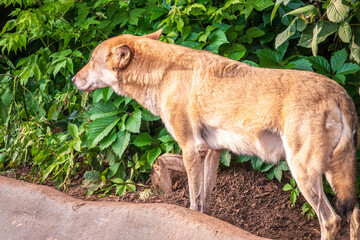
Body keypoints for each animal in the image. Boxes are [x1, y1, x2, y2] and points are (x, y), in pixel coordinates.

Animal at [73, 30, 360, 240]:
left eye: (91, 60)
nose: (74, 80)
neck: (164, 75)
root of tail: (341, 93)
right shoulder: (212, 152)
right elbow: (206, 202)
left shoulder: (190, 149)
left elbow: (193, 201)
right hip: (333, 175)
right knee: (354, 215)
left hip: (303, 173)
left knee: (331, 220)